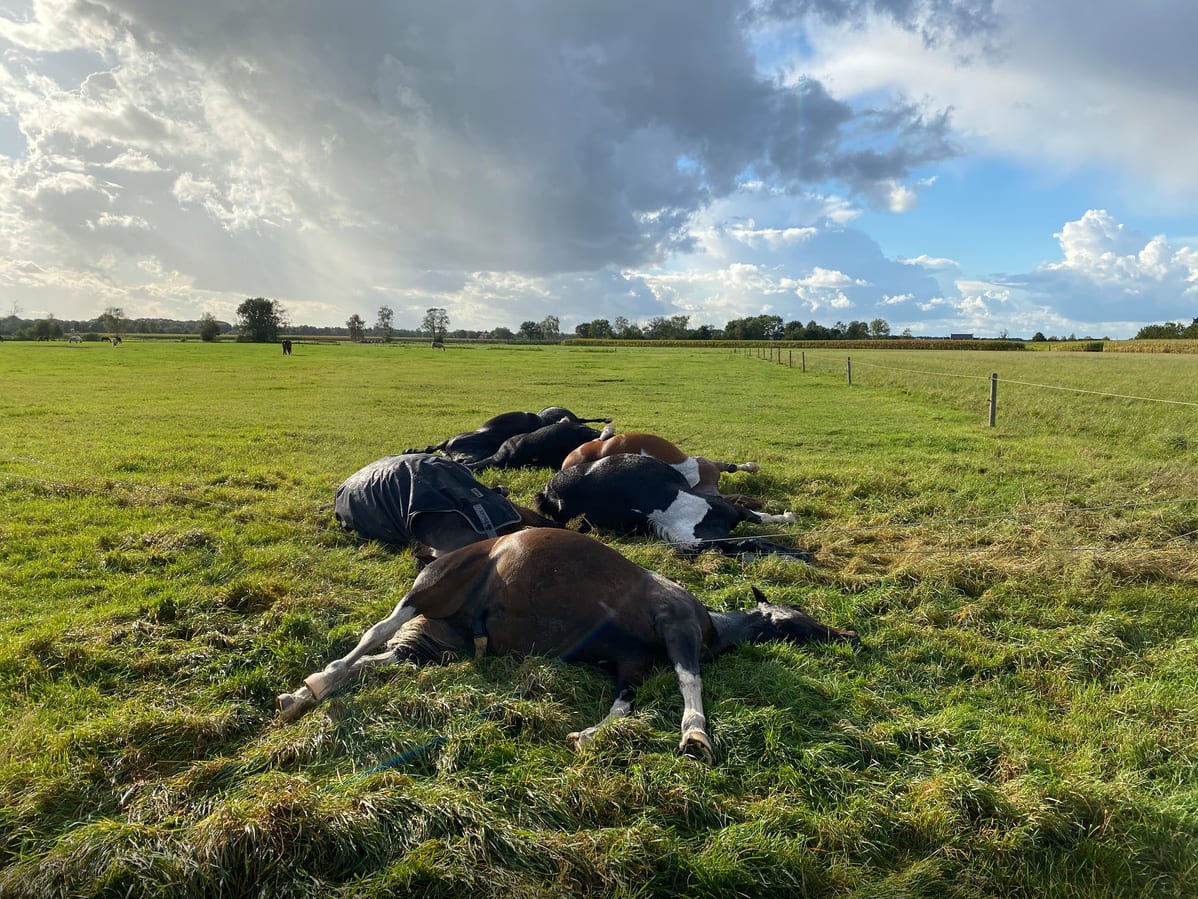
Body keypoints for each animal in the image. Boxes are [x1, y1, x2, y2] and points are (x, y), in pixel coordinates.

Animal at [276, 528, 859, 761]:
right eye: (798, 618)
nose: (851, 637)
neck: (711, 624)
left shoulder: (629, 664)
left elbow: (623, 707)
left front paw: (588, 736)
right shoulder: (677, 627)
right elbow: (689, 680)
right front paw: (696, 735)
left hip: (439, 643)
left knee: (380, 661)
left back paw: (303, 695)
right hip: (432, 589)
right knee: (374, 634)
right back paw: (316, 683)